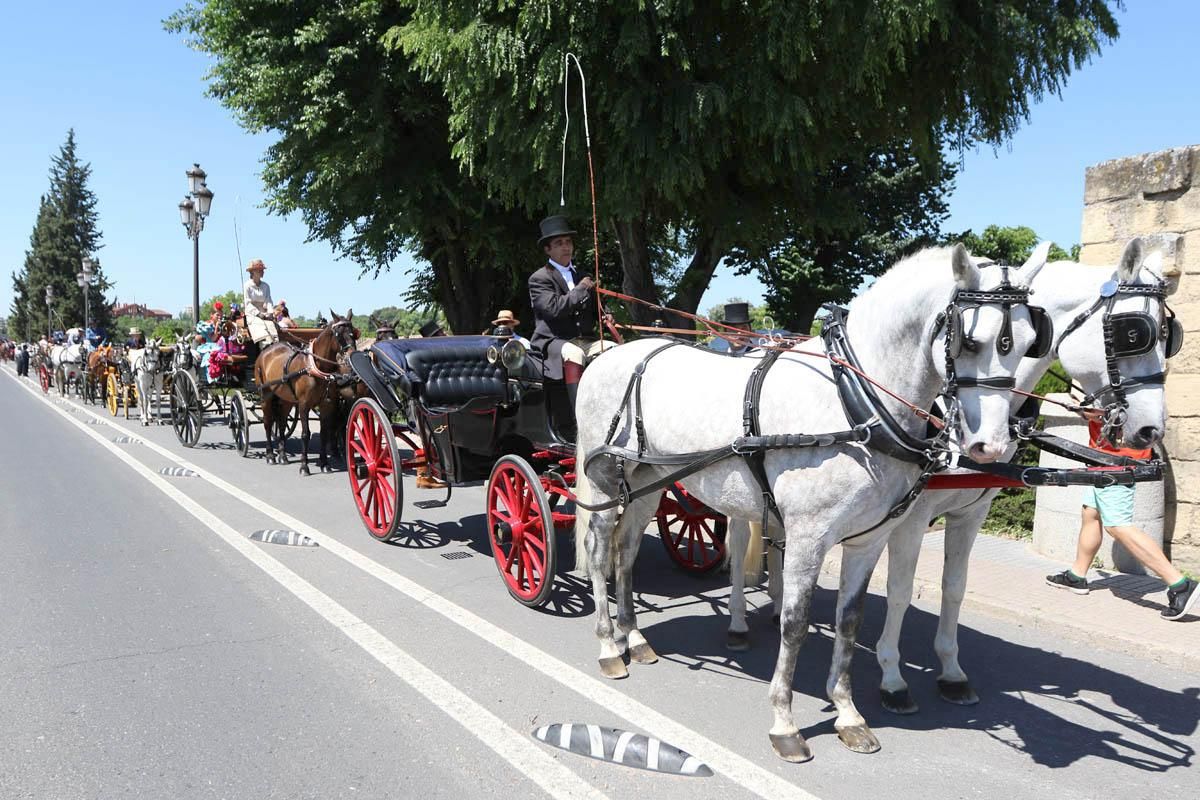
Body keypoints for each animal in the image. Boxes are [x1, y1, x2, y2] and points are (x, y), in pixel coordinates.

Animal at [254, 309, 357, 474]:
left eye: (353, 332)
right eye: (338, 333)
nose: (350, 357)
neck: (316, 368)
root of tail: (266, 351)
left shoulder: (327, 405)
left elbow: (324, 433)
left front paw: (325, 464)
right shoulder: (303, 405)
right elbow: (305, 434)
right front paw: (304, 465)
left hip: (286, 399)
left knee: (281, 422)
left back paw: (282, 455)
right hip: (266, 396)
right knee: (268, 422)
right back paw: (270, 455)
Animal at [571, 244, 1041, 762]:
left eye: (1029, 341)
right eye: (970, 341)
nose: (989, 446)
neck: (855, 403)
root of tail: (608, 355)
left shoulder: (868, 540)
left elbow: (850, 622)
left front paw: (849, 714)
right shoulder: (807, 537)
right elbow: (794, 624)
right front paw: (784, 722)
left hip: (650, 483)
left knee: (627, 551)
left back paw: (634, 638)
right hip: (604, 484)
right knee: (599, 551)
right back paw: (608, 647)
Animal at [873, 237, 1171, 714]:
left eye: (1168, 336)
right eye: (1133, 334)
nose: (1151, 430)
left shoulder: (970, 513)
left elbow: (954, 587)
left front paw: (951, 672)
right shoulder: (913, 517)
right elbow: (899, 589)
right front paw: (892, 678)